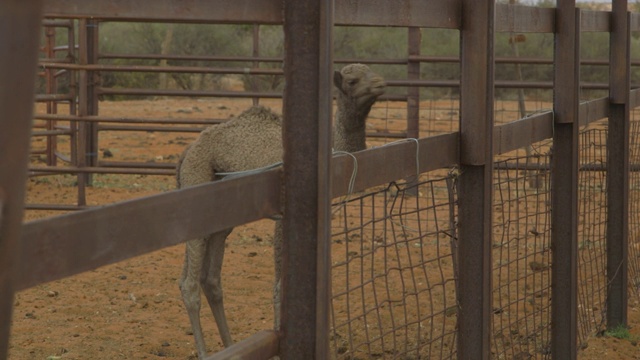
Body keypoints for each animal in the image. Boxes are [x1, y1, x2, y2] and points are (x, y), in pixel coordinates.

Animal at [175, 63, 384, 358]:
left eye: (373, 72)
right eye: (352, 81)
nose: (381, 84)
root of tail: (187, 152)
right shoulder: (283, 216)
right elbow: (279, 285)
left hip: (221, 214)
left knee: (210, 279)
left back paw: (231, 345)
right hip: (198, 186)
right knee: (189, 283)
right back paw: (207, 352)